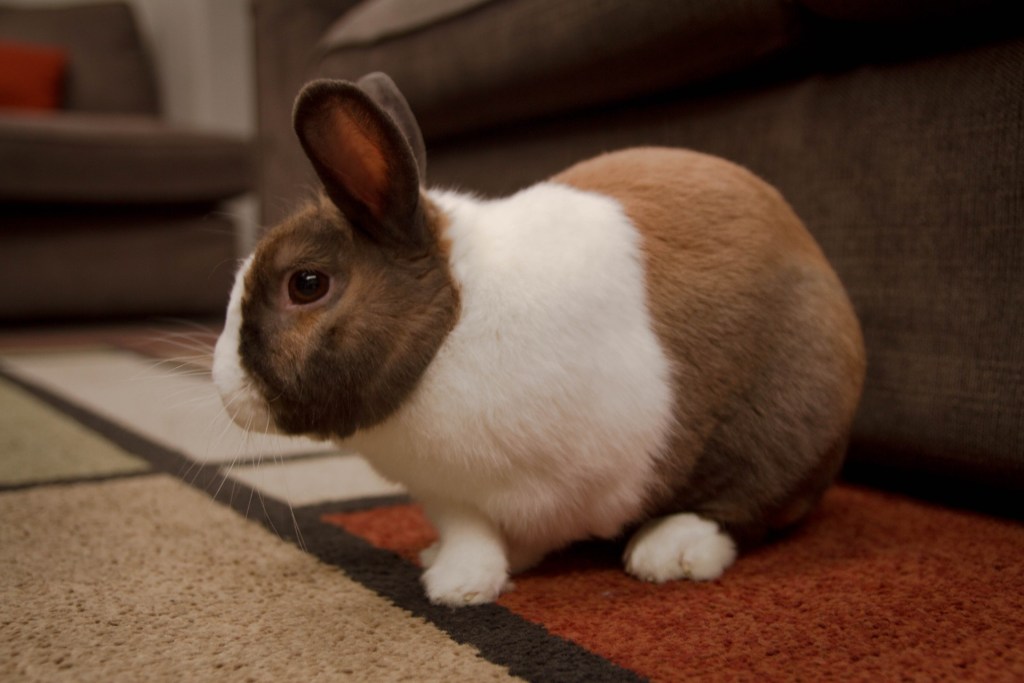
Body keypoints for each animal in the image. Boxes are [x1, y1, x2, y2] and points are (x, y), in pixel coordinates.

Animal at [214, 73, 864, 610]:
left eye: (306, 284)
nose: (223, 388)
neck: (452, 325)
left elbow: (490, 537)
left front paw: (456, 589)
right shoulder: (453, 495)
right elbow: (470, 531)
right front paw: (453, 570)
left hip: (783, 428)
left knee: (747, 508)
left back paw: (669, 551)